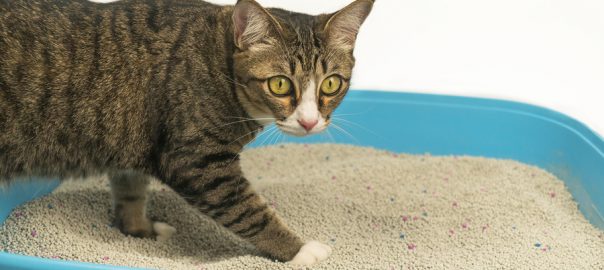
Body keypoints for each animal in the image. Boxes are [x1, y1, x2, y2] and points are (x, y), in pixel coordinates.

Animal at [0, 0, 376, 266]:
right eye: (280, 84)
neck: (219, 61)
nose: (310, 121)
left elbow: (131, 190)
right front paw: (299, 250)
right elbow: (251, 211)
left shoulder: (135, 143)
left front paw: (138, 230)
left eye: (331, 84)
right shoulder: (199, 162)